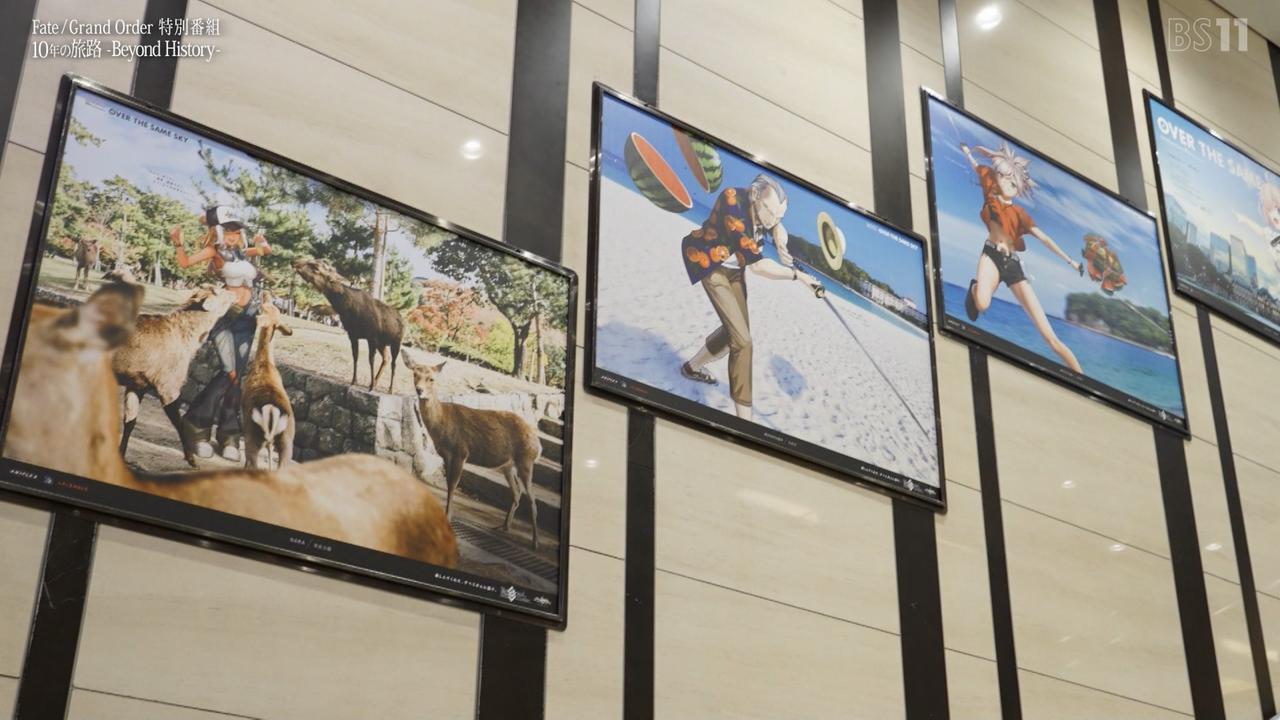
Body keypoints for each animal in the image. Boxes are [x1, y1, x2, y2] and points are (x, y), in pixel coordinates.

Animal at [113, 285, 237, 466]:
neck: (188, 341)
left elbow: (130, 420)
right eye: (218, 291)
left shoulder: (137, 384)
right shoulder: (168, 386)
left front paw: (122, 456)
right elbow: (180, 423)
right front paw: (192, 459)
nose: (235, 294)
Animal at [241, 292, 294, 469]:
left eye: (261, 308)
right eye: (270, 307)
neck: (264, 364)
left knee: (252, 462)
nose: (265, 293)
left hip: (252, 433)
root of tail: (271, 410)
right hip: (287, 441)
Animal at [292, 258, 403, 393]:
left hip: (396, 343)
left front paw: (371, 386)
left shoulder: (372, 337)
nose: (295, 262)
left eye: (315, 267)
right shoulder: (353, 334)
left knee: (393, 363)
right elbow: (355, 356)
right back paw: (376, 382)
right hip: (382, 344)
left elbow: (370, 360)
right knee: (386, 359)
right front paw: (354, 381)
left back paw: (389, 389)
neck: (346, 309)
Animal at [407, 354, 543, 549]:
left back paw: (535, 542)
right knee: (517, 493)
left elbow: (452, 485)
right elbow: (449, 484)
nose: (419, 390)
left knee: (532, 498)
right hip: (508, 466)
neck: (442, 423)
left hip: (526, 460)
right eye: (414, 374)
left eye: (431, 379)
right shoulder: (446, 455)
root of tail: (539, 445)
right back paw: (504, 527)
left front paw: (448, 518)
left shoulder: (460, 451)